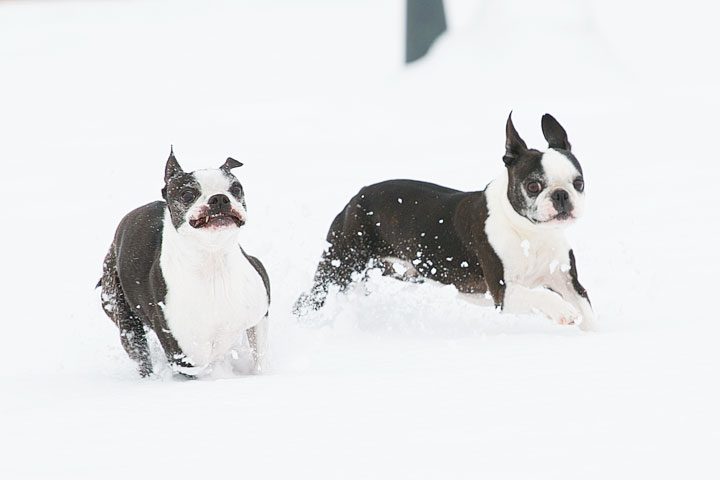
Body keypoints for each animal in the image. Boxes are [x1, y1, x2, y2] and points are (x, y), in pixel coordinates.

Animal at [100, 148, 272, 376]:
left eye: (236, 189)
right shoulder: (185, 358)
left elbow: (259, 358)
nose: (219, 198)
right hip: (124, 315)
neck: (213, 258)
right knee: (140, 352)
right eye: (188, 194)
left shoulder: (260, 314)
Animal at [292, 113, 596, 330]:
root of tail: (355, 197)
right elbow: (544, 297)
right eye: (533, 186)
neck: (531, 234)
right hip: (340, 265)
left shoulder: (568, 282)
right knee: (310, 298)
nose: (561, 195)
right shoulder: (503, 292)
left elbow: (587, 310)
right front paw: (564, 313)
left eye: (579, 183)